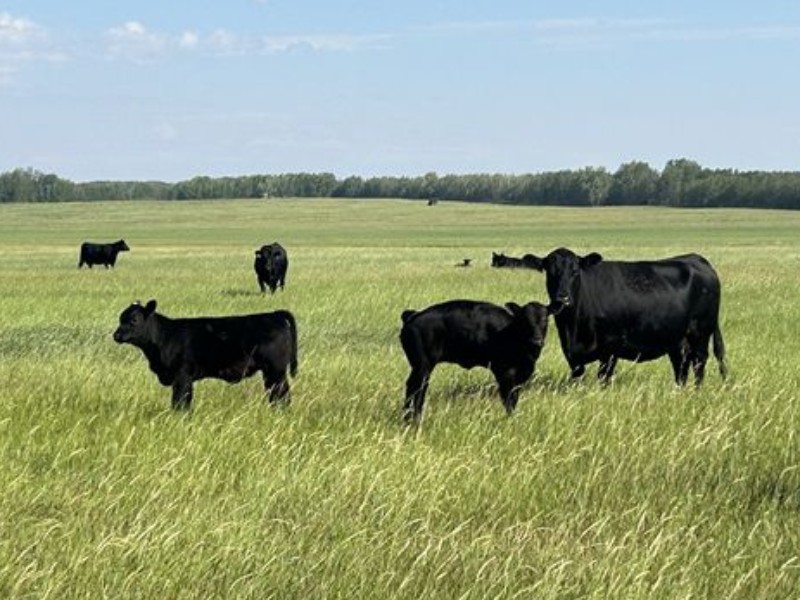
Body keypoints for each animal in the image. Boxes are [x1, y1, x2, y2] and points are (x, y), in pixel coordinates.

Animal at [112, 299, 298, 410]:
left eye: (134, 320)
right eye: (120, 318)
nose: (116, 335)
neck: (165, 336)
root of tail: (274, 314)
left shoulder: (182, 376)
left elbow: (180, 402)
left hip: (276, 371)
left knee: (283, 396)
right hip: (270, 373)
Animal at [399, 300, 549, 422]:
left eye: (545, 319)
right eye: (525, 319)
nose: (536, 341)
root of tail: (413, 315)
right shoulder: (504, 373)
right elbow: (508, 400)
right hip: (422, 366)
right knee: (416, 389)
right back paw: (413, 420)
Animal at [527, 247, 727, 386]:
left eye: (575, 271)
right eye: (550, 272)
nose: (563, 298)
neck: (573, 326)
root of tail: (697, 258)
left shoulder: (610, 348)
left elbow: (603, 378)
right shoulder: (572, 355)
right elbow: (577, 377)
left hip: (700, 332)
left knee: (699, 362)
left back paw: (697, 390)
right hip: (678, 340)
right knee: (682, 365)